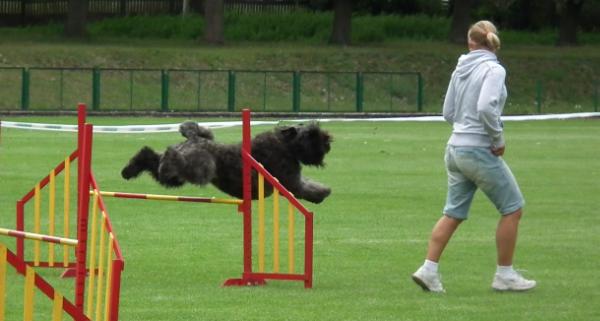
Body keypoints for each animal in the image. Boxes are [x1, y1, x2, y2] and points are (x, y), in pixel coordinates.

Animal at [121, 121, 332, 204]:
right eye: (311, 134)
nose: (327, 142)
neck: (285, 145)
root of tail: (193, 139)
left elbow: (310, 183)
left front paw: (325, 190)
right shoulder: (291, 183)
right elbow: (307, 188)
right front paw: (322, 194)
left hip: (176, 177)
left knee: (149, 155)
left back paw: (128, 170)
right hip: (200, 169)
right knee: (170, 159)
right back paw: (167, 159)